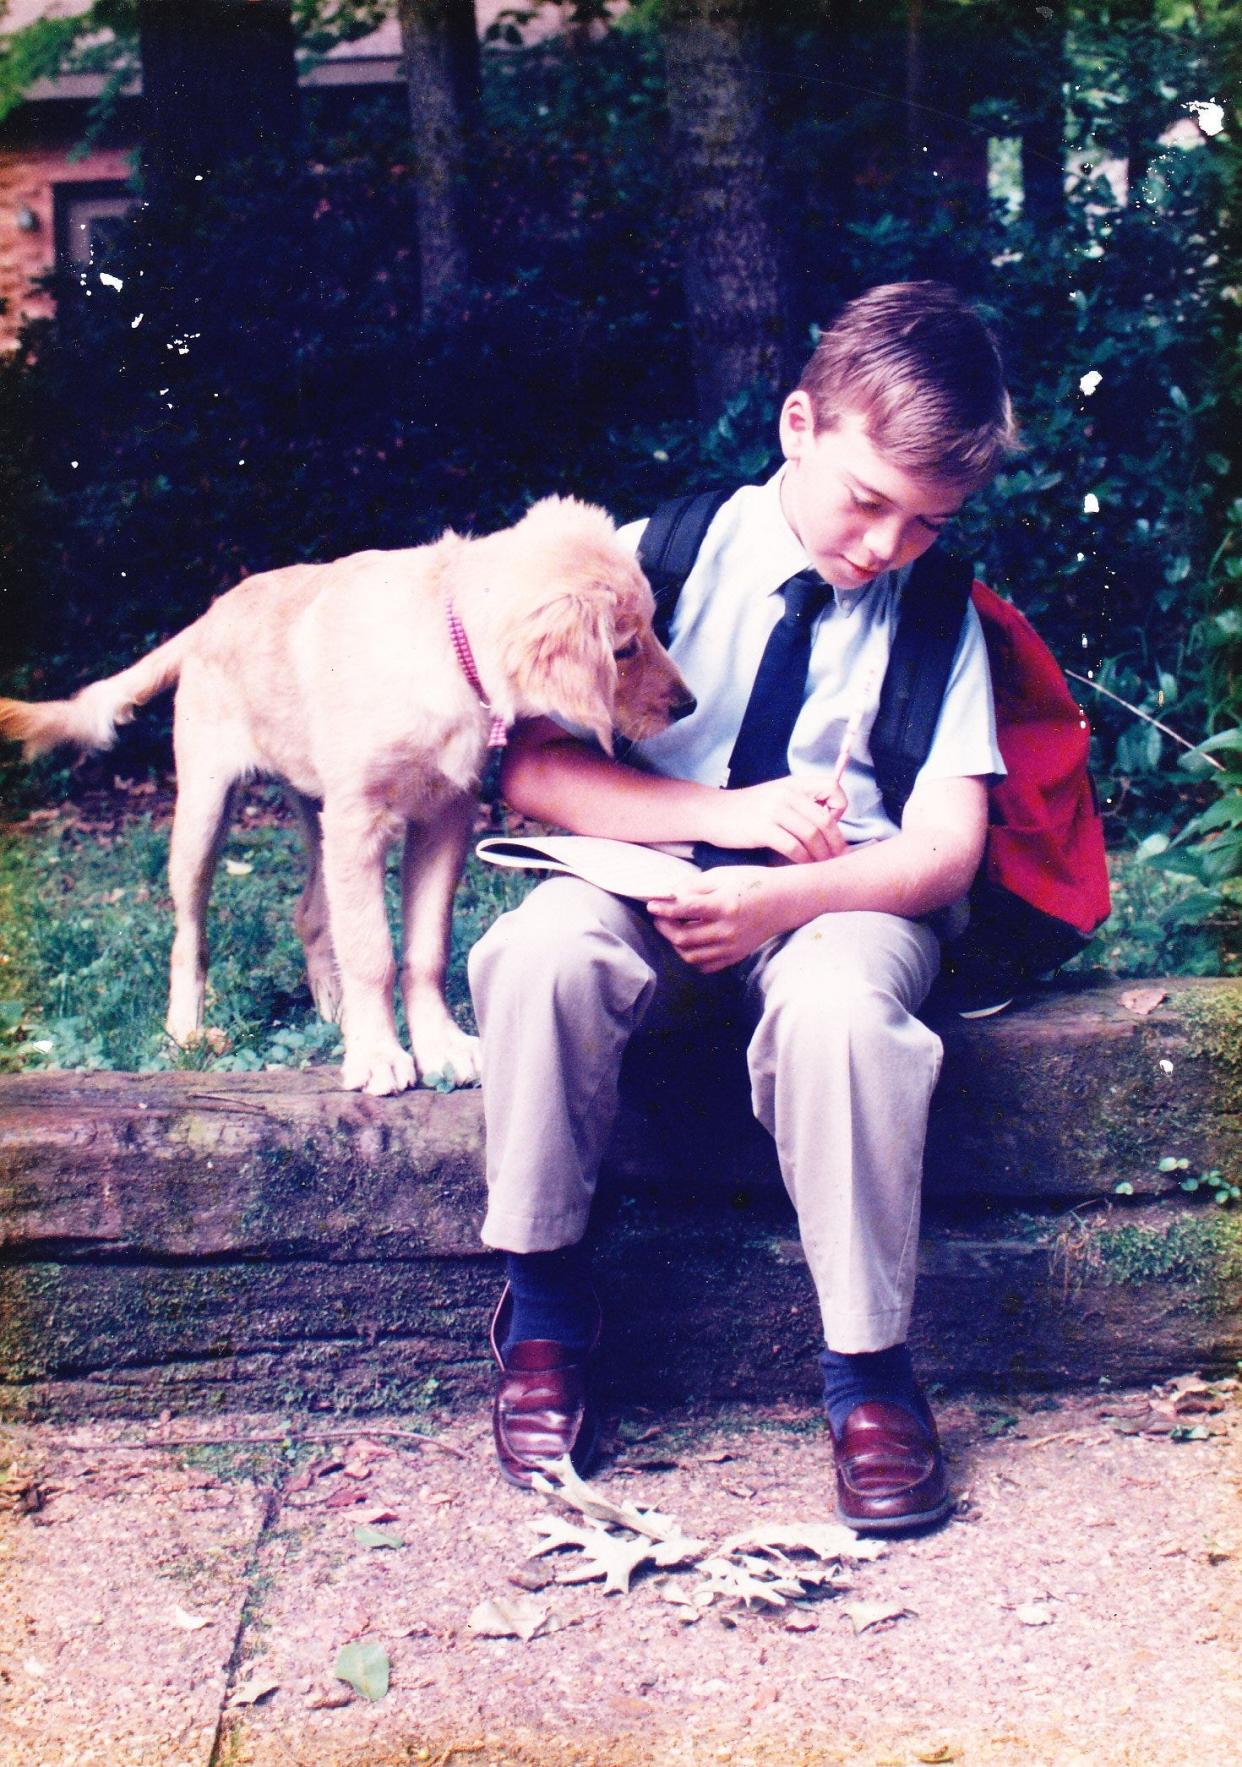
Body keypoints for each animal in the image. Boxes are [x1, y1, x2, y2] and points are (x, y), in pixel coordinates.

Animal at [0, 498, 696, 1088]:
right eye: (624, 648)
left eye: (654, 627)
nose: (689, 705)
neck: (445, 649)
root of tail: (209, 617)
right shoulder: (360, 822)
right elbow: (371, 951)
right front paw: (380, 1055)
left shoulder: (444, 817)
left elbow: (424, 950)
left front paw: (437, 1046)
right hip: (205, 808)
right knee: (189, 935)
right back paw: (189, 1032)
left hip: (316, 810)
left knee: (310, 912)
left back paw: (335, 1014)